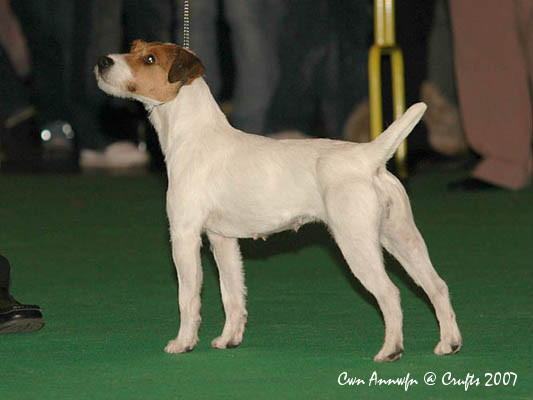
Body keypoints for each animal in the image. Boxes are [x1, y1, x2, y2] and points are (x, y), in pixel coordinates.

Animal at [95, 40, 462, 362]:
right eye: (133, 46)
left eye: (150, 59)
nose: (102, 61)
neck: (193, 135)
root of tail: (367, 158)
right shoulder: (222, 240)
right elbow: (232, 295)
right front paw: (229, 339)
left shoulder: (184, 235)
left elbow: (188, 297)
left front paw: (183, 343)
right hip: (402, 238)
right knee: (437, 286)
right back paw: (449, 343)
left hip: (357, 244)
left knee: (390, 293)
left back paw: (391, 350)